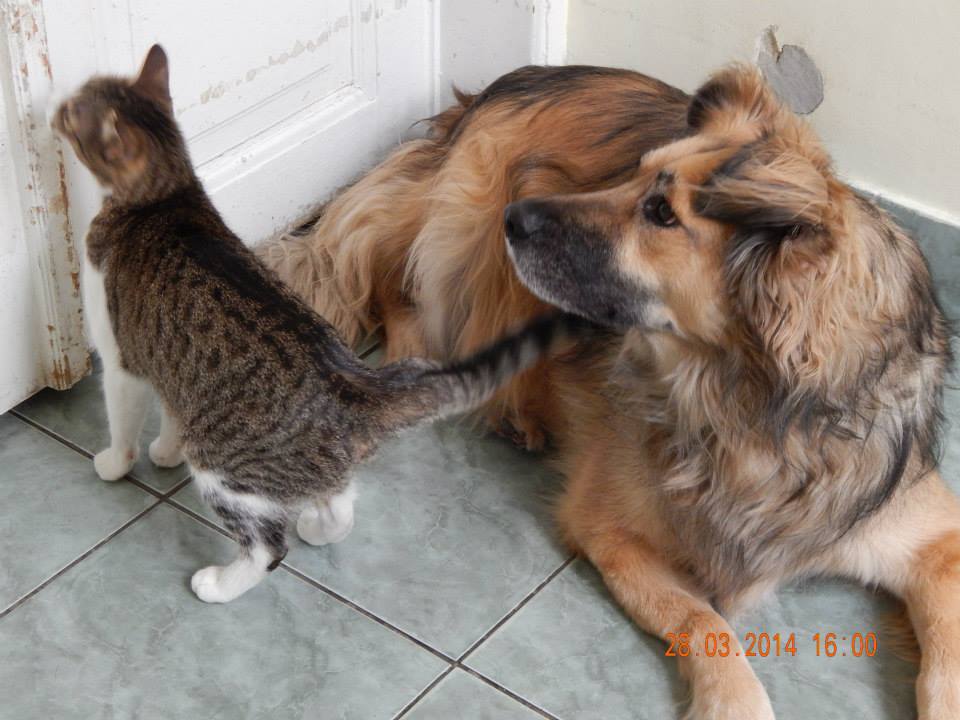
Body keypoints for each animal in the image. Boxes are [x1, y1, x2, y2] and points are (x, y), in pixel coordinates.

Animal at [53, 44, 581, 603]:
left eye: (73, 112)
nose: (53, 108)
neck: (167, 194)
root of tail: (358, 389)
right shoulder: (172, 366)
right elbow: (174, 412)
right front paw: (166, 450)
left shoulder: (122, 360)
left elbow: (124, 420)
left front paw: (117, 461)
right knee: (340, 500)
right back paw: (318, 526)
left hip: (225, 472)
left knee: (268, 547)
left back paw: (219, 583)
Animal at [261, 64, 960, 718]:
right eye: (637, 175)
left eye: (661, 213)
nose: (517, 217)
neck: (746, 411)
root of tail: (504, 83)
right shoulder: (613, 529)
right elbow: (703, 619)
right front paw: (735, 702)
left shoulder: (935, 539)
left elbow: (947, 656)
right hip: (459, 239)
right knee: (396, 287)